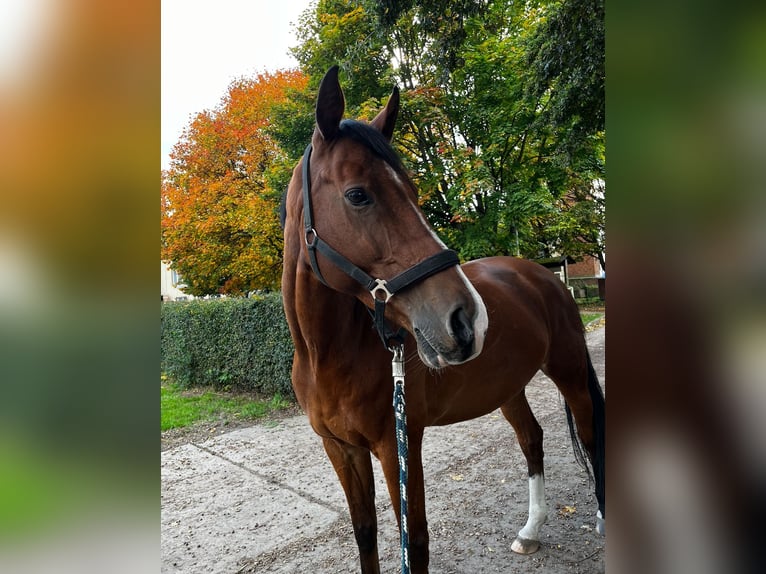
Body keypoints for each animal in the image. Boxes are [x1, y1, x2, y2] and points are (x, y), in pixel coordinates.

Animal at [280, 65, 605, 573]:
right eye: (358, 195)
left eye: (414, 193)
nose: (468, 318)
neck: (326, 355)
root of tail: (540, 274)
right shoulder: (342, 449)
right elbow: (365, 533)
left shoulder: (397, 444)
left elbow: (415, 542)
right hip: (508, 386)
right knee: (532, 440)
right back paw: (530, 531)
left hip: (568, 370)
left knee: (591, 438)